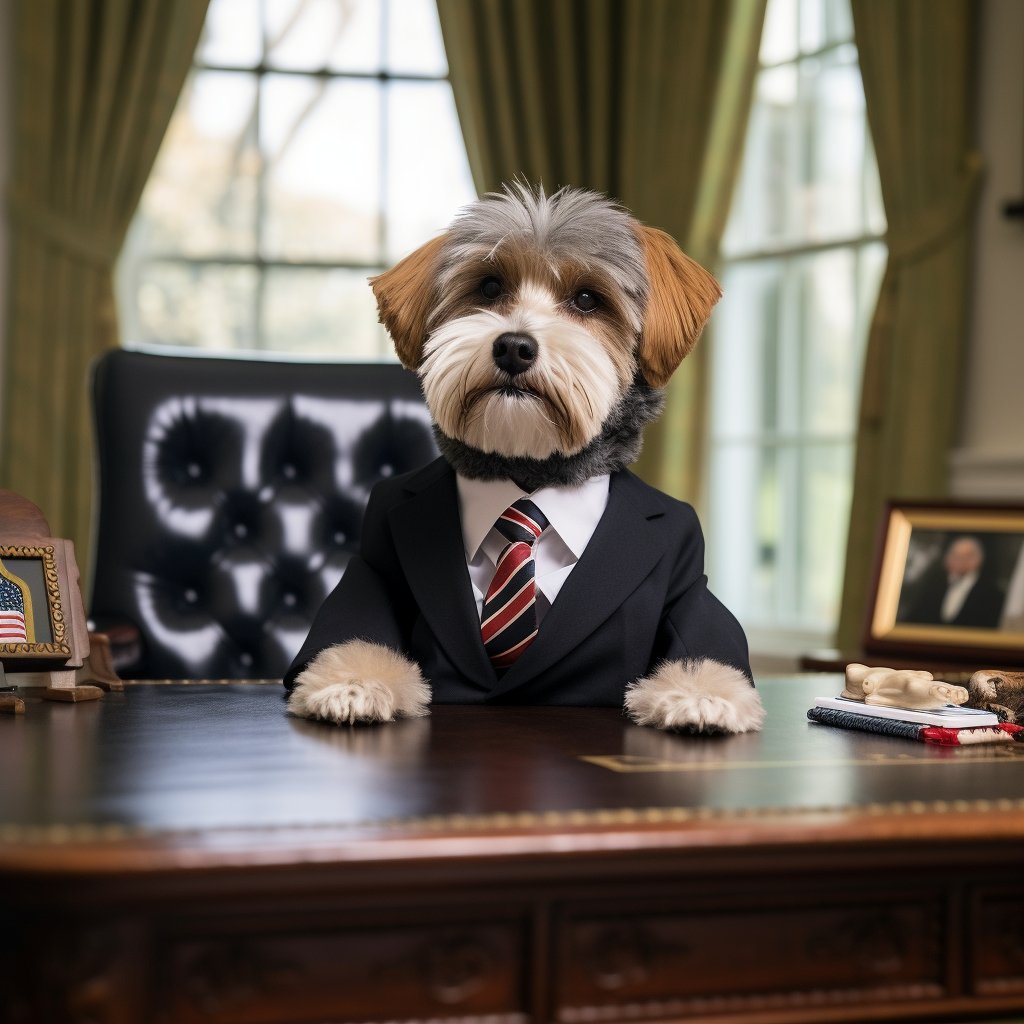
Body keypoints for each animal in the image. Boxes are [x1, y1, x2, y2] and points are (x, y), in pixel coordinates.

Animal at [284, 184, 765, 733]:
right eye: (490, 287)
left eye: (586, 299)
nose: (514, 346)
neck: (529, 475)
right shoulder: (375, 560)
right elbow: (355, 633)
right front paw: (353, 682)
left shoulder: (687, 578)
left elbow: (703, 644)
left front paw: (702, 695)